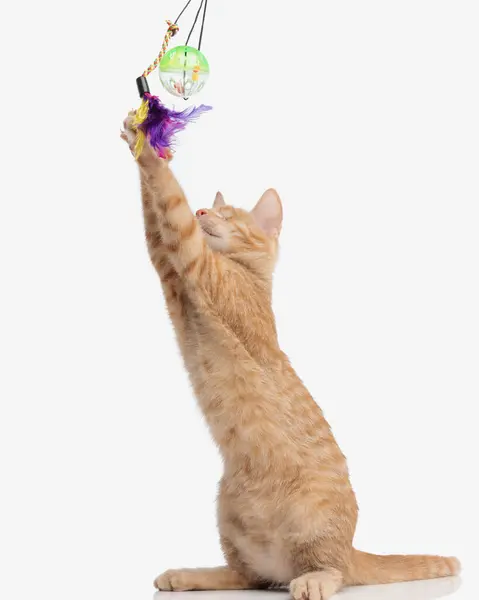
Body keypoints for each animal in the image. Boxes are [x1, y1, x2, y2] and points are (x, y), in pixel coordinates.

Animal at [121, 113, 462, 600]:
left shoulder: (194, 260)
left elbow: (170, 201)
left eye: (227, 215)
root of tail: (349, 548)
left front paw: (151, 148)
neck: (245, 274)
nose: (205, 212)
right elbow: (156, 225)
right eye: (210, 208)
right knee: (246, 575)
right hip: (229, 517)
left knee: (327, 570)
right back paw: (191, 575)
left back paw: (313, 579)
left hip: (312, 525)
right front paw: (139, 132)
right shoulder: (173, 275)